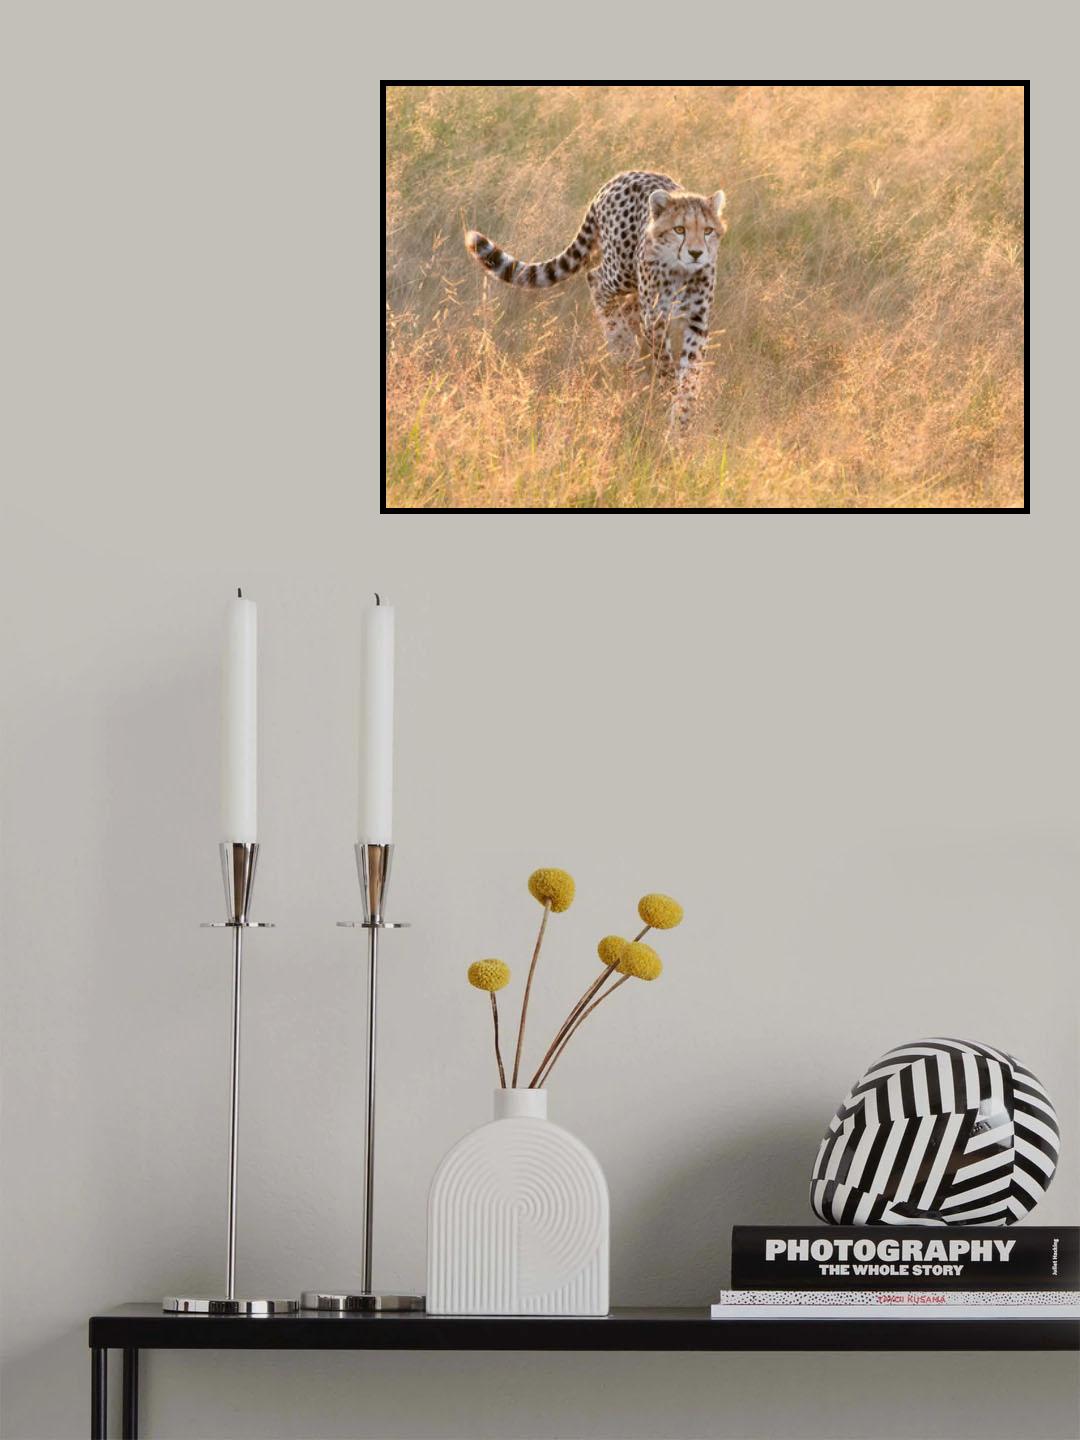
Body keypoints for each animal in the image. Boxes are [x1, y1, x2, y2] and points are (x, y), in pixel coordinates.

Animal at [465, 171, 727, 432]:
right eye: (679, 229)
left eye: (708, 230)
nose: (696, 253)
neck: (681, 271)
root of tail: (621, 176)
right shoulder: (655, 318)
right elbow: (665, 362)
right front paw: (670, 393)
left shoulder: (697, 320)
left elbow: (691, 370)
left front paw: (683, 413)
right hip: (621, 269)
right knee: (596, 279)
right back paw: (620, 344)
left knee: (626, 306)